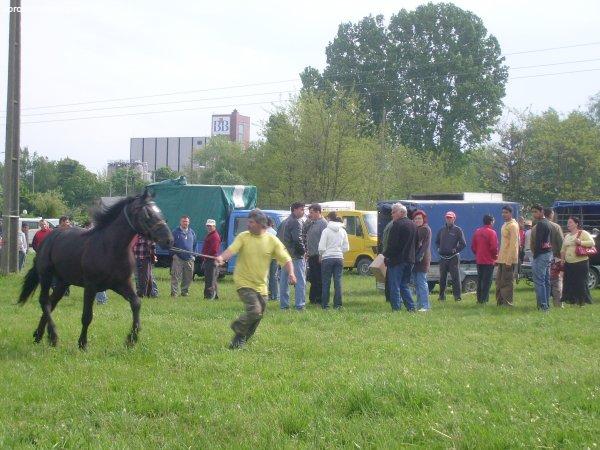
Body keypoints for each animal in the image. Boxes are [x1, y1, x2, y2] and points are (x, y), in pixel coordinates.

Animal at [18, 192, 173, 350]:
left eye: (159, 211)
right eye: (148, 214)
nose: (169, 240)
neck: (111, 247)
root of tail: (48, 238)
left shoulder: (121, 284)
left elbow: (136, 303)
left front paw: (131, 339)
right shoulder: (91, 286)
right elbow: (87, 316)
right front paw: (82, 343)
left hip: (63, 282)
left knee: (51, 303)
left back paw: (40, 335)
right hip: (46, 276)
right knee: (44, 301)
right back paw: (53, 336)